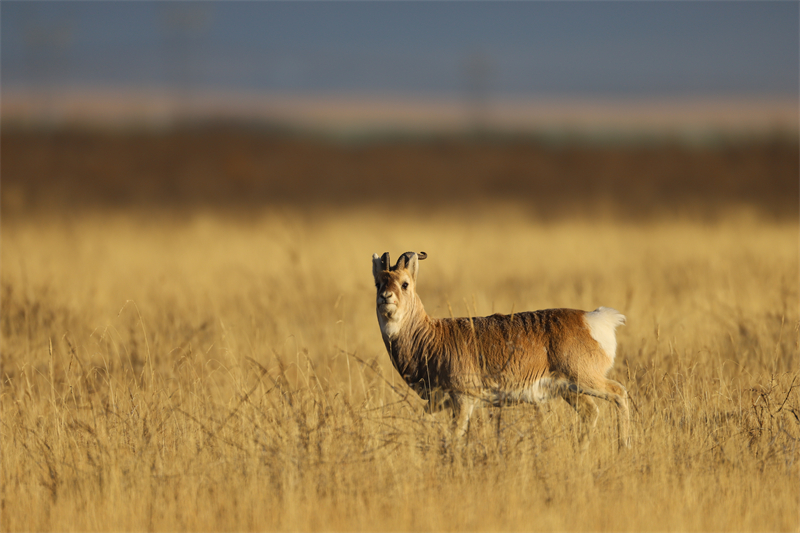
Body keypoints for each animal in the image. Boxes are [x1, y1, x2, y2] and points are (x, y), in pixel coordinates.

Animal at [372, 251, 630, 449]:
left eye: (405, 283)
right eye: (378, 283)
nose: (386, 297)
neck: (433, 335)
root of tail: (591, 318)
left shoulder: (463, 400)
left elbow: (453, 440)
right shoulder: (436, 405)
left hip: (585, 380)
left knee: (619, 392)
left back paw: (624, 447)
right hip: (570, 390)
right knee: (591, 412)